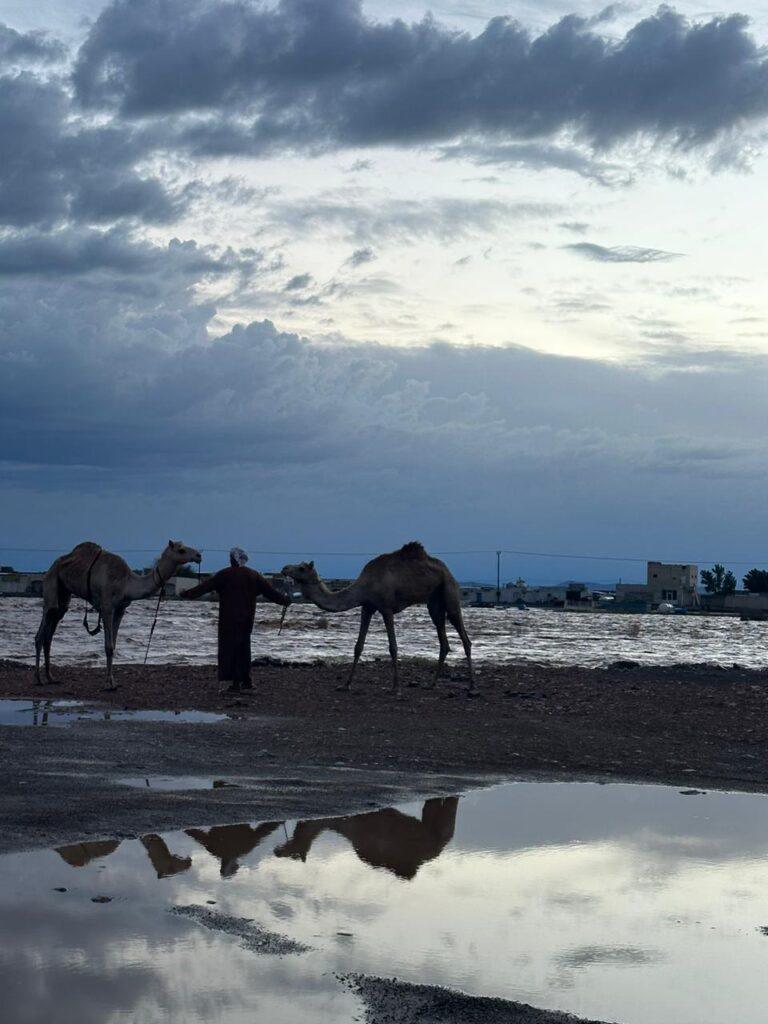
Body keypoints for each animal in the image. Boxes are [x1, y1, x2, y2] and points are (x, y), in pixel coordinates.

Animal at [35, 539, 201, 690]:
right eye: (181, 550)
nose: (199, 555)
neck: (127, 583)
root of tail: (53, 566)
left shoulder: (121, 610)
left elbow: (114, 645)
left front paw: (113, 681)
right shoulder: (107, 607)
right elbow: (108, 646)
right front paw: (109, 684)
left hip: (64, 594)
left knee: (51, 631)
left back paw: (50, 677)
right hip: (51, 583)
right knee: (43, 628)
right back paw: (39, 679)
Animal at [282, 542, 474, 696]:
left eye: (301, 568)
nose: (284, 568)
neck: (365, 586)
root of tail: (447, 570)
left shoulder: (386, 608)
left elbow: (393, 647)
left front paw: (395, 688)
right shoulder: (367, 607)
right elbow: (358, 646)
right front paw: (345, 685)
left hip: (449, 590)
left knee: (464, 636)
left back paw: (471, 687)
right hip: (434, 602)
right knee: (443, 640)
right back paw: (431, 684)